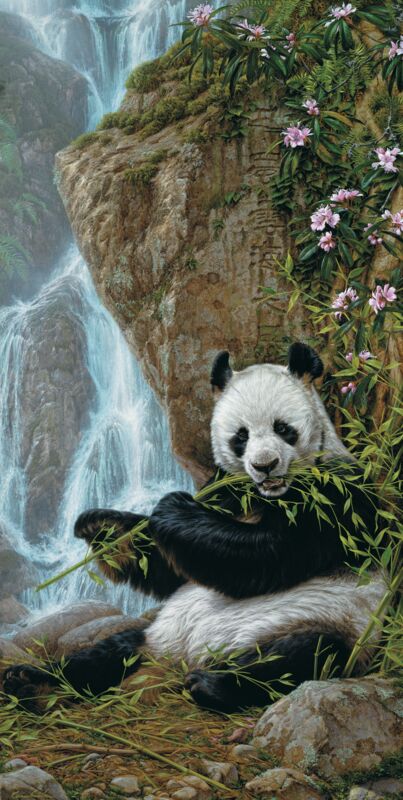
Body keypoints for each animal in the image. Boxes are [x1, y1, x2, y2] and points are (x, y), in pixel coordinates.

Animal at [4, 343, 385, 713]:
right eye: (241, 436)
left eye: (283, 428)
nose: (265, 466)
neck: (267, 494)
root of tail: (180, 660)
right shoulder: (224, 489)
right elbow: (169, 569)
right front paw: (100, 526)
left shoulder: (336, 496)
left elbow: (266, 554)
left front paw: (171, 508)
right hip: (154, 634)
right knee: (109, 652)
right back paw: (34, 683)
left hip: (332, 624)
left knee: (302, 656)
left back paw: (213, 684)